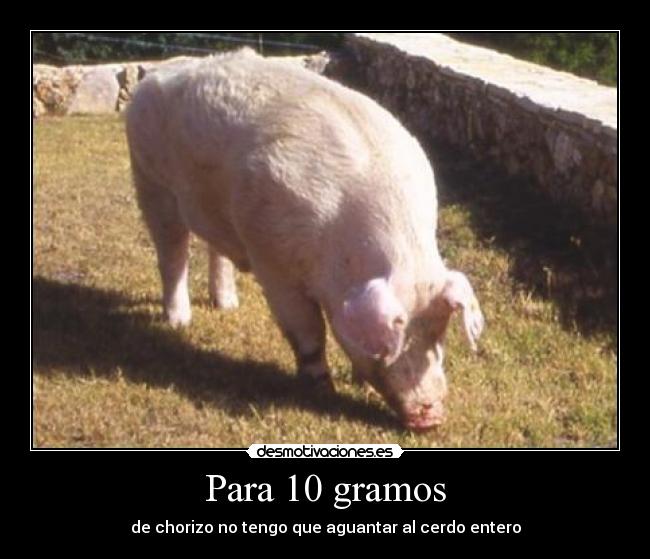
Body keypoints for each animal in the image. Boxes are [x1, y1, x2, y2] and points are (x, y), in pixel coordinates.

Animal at [125, 48, 484, 431]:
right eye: (393, 341)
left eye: (439, 334)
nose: (430, 417)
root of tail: (155, 76)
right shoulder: (272, 261)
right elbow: (307, 331)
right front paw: (322, 391)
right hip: (149, 179)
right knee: (172, 252)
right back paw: (179, 321)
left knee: (215, 250)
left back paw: (227, 305)